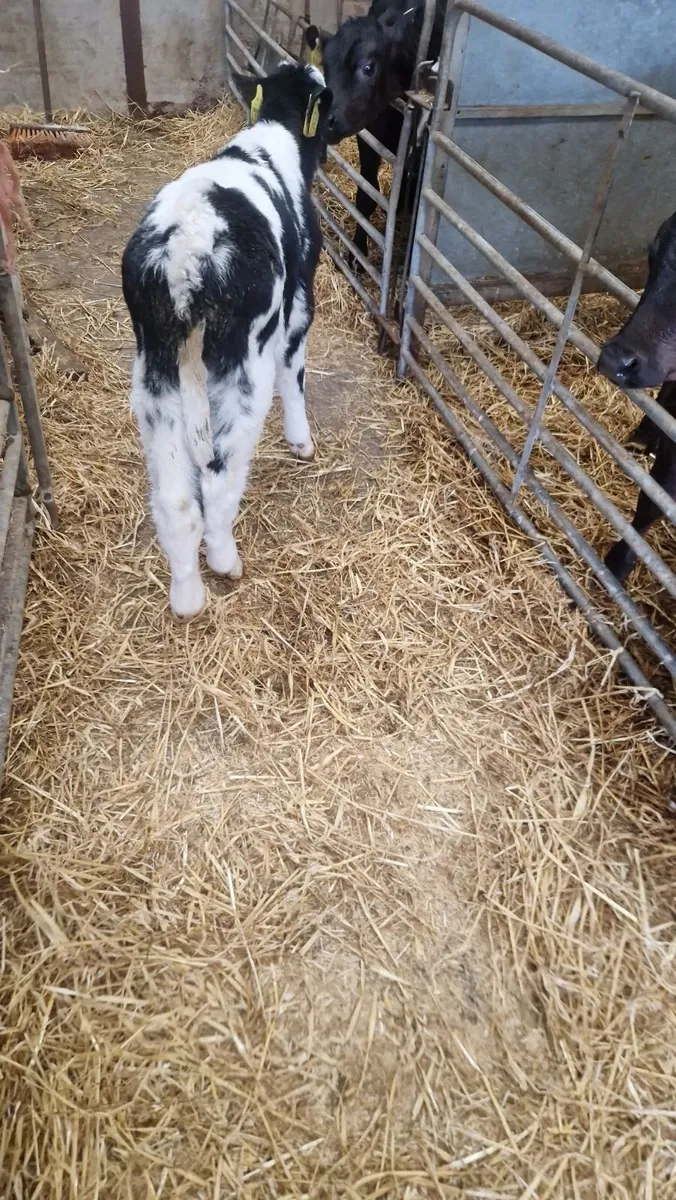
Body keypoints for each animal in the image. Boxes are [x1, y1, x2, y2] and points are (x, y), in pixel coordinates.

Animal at [121, 62, 332, 621]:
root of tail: (186, 251)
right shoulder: (299, 301)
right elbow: (295, 372)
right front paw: (301, 441)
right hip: (243, 362)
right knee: (219, 474)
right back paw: (223, 560)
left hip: (154, 366)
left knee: (174, 494)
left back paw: (187, 596)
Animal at [305, 0, 444, 263]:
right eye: (326, 66)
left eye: (368, 68)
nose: (324, 119)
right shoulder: (370, 136)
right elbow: (367, 195)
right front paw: (357, 252)